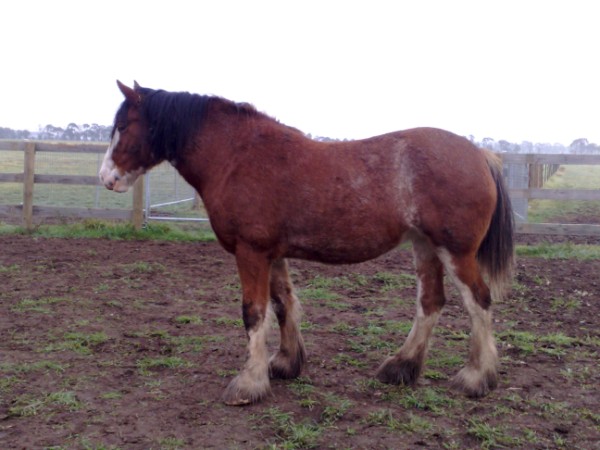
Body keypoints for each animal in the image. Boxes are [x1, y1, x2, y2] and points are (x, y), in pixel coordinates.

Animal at [101, 81, 512, 408]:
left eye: (122, 125)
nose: (107, 178)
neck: (237, 155)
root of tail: (479, 155)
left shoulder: (251, 252)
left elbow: (254, 313)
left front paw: (248, 383)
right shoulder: (271, 254)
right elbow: (283, 304)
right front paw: (284, 363)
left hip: (455, 252)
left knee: (478, 301)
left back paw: (476, 377)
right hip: (425, 246)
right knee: (431, 303)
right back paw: (401, 367)